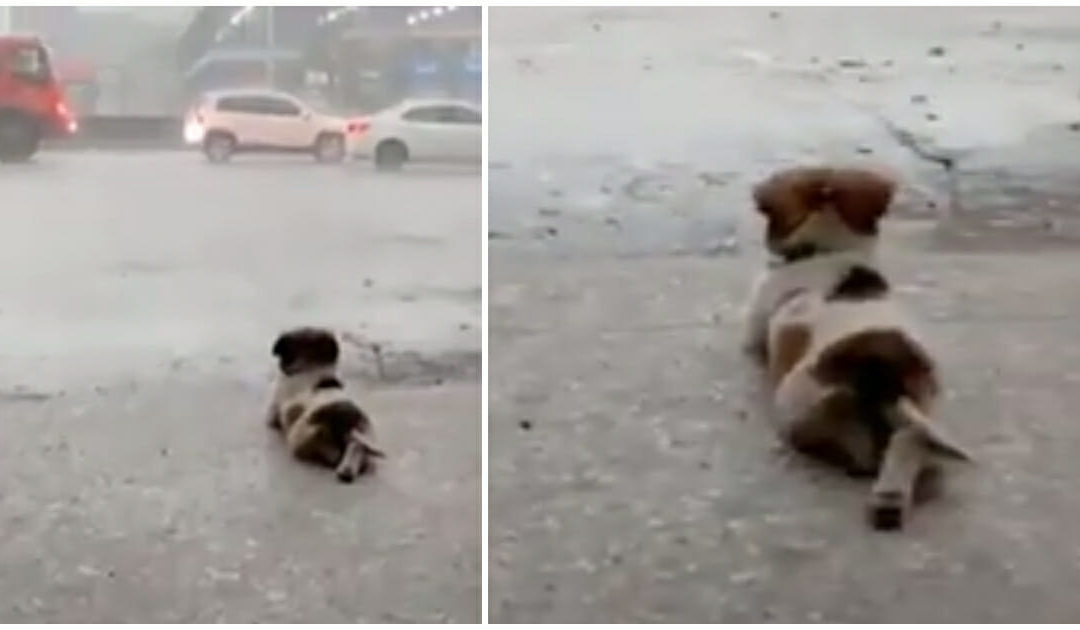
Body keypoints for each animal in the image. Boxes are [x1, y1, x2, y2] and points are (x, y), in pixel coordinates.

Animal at [265, 326, 384, 484]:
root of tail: (348, 424)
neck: (312, 365)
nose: (283, 366)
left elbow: (271, 418)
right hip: (365, 433)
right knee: (357, 448)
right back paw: (346, 469)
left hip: (310, 429)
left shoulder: (272, 412)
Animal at [743, 166, 972, 527]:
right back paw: (890, 496)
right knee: (910, 441)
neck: (829, 250)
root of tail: (882, 363)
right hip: (926, 404)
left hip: (796, 402)